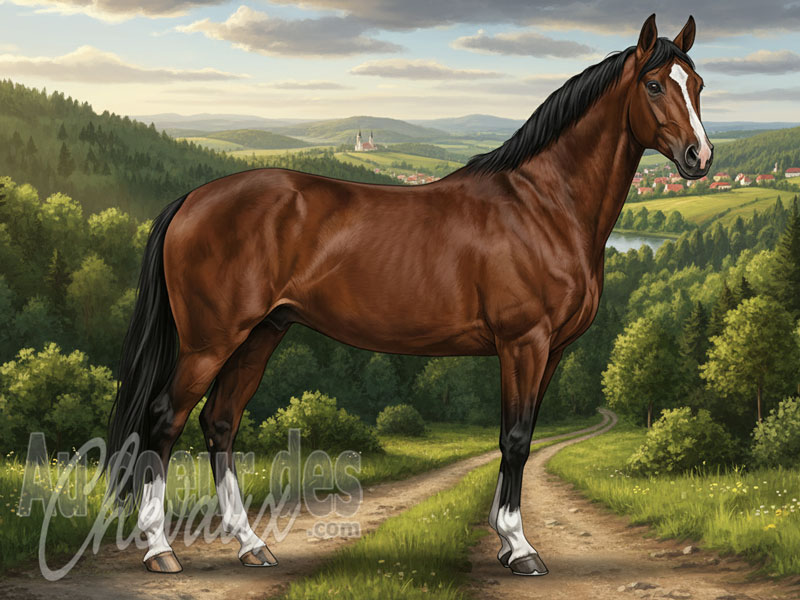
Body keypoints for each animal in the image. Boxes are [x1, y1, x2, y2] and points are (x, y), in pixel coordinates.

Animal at [107, 13, 712, 576]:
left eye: (699, 83)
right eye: (654, 85)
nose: (699, 157)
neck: (543, 205)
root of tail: (191, 200)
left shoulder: (552, 351)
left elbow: (519, 436)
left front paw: (503, 540)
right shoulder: (524, 343)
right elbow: (515, 438)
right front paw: (520, 549)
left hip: (260, 335)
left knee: (220, 423)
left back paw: (252, 546)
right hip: (210, 342)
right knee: (164, 420)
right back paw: (160, 550)